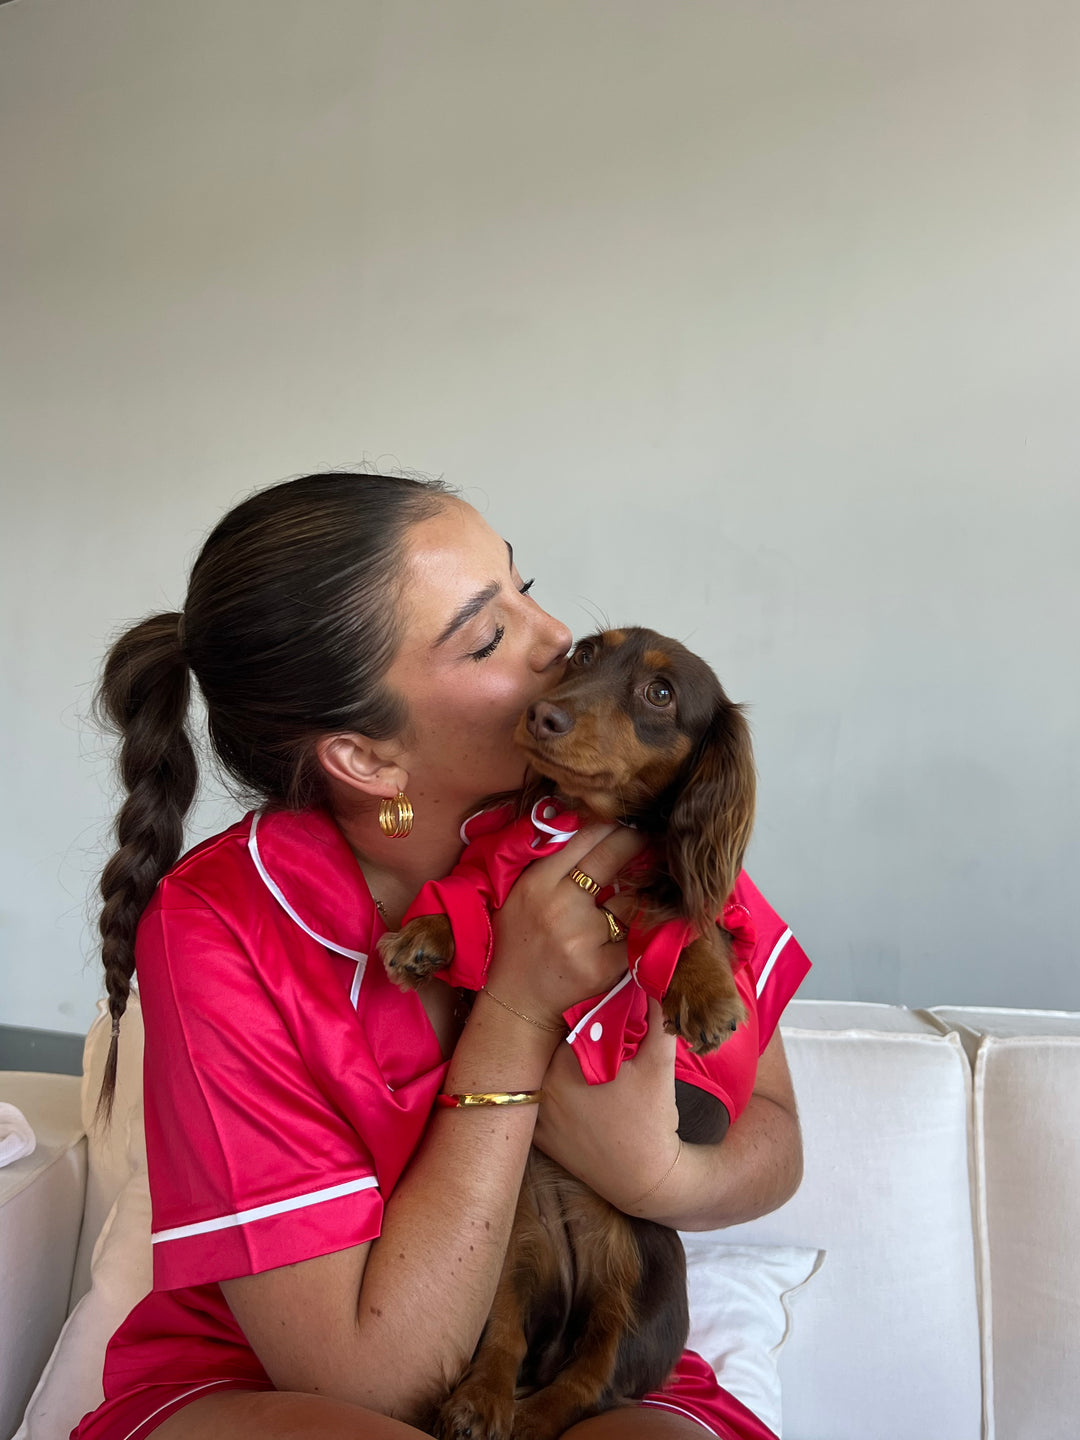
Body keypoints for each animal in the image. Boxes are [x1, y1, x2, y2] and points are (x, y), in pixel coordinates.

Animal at [380, 624, 760, 1434]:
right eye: (584, 654)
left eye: (661, 693)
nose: (543, 716)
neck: (584, 823)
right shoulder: (510, 873)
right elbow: (480, 899)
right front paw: (427, 934)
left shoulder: (674, 893)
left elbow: (687, 925)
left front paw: (706, 993)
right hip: (504, 1262)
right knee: (507, 1343)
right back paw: (480, 1403)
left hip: (647, 1283)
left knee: (589, 1383)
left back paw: (522, 1414)